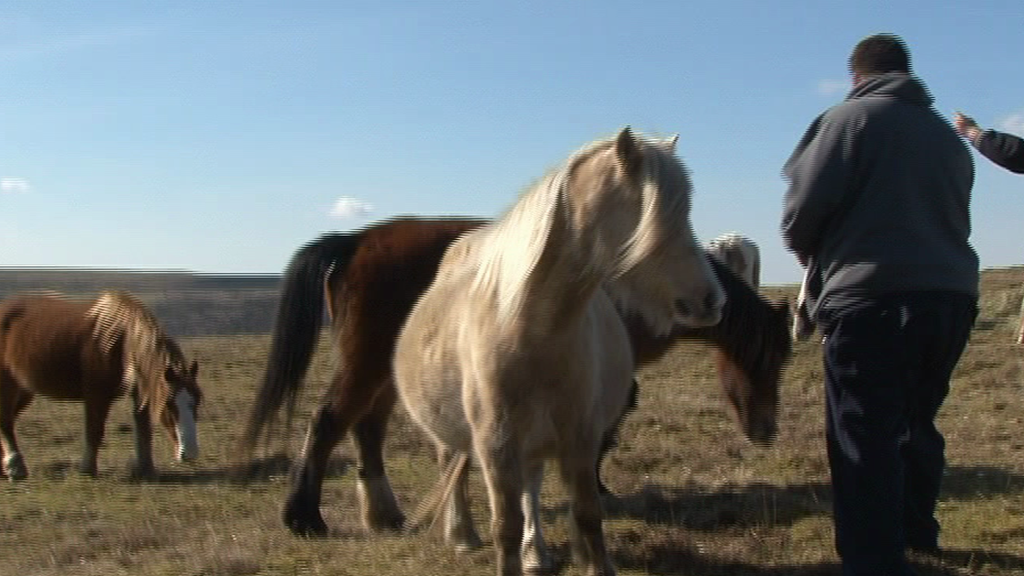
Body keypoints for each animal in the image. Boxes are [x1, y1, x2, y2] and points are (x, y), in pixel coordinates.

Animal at [0, 289, 201, 477]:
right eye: (168, 405)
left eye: (197, 403)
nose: (190, 453)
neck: (122, 341)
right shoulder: (96, 395)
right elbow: (94, 431)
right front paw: (88, 470)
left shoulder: (142, 392)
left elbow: (144, 430)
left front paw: (146, 469)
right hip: (8, 384)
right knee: (6, 421)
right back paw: (15, 468)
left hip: (24, 391)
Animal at [243, 198, 786, 537]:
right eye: (767, 358)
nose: (765, 431)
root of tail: (355, 239)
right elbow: (601, 431)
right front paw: (597, 489)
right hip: (367, 364)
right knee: (328, 423)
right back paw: (305, 518)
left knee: (367, 430)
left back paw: (384, 515)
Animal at [393, 130, 729, 573]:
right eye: (655, 215)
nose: (711, 300)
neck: (526, 328)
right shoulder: (497, 446)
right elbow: (504, 526)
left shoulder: (579, 438)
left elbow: (586, 514)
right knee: (454, 468)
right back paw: (463, 535)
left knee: (531, 489)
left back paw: (536, 554)